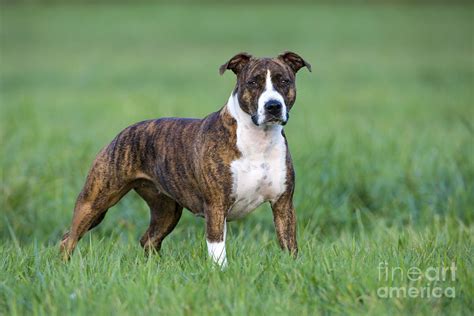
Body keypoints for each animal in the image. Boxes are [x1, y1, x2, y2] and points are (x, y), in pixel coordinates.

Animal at [59, 50, 312, 266]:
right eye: (253, 82)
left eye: (284, 81)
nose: (273, 106)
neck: (258, 140)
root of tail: (123, 132)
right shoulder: (216, 207)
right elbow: (218, 250)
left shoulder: (282, 205)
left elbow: (289, 244)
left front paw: (293, 269)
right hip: (95, 202)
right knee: (68, 239)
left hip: (166, 210)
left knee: (148, 239)